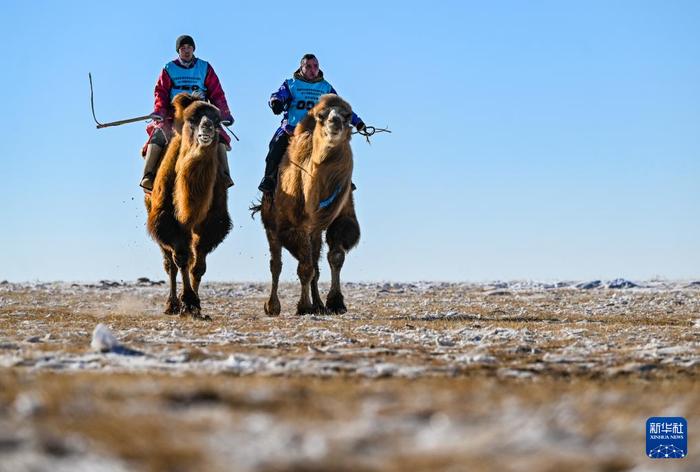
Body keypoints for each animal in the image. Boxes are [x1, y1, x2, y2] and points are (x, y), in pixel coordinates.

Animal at [145, 92, 232, 320]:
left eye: (218, 121)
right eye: (192, 119)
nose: (208, 127)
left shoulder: (211, 222)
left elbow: (198, 265)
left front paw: (196, 305)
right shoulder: (165, 220)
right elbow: (181, 259)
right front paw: (188, 302)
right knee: (169, 263)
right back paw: (171, 305)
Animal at [253, 94, 360, 316]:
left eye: (347, 116)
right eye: (321, 116)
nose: (335, 122)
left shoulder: (340, 219)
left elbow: (335, 257)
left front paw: (335, 302)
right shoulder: (293, 226)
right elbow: (304, 267)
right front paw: (303, 306)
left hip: (313, 232)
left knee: (315, 264)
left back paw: (318, 304)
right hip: (271, 225)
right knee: (276, 264)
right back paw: (272, 306)